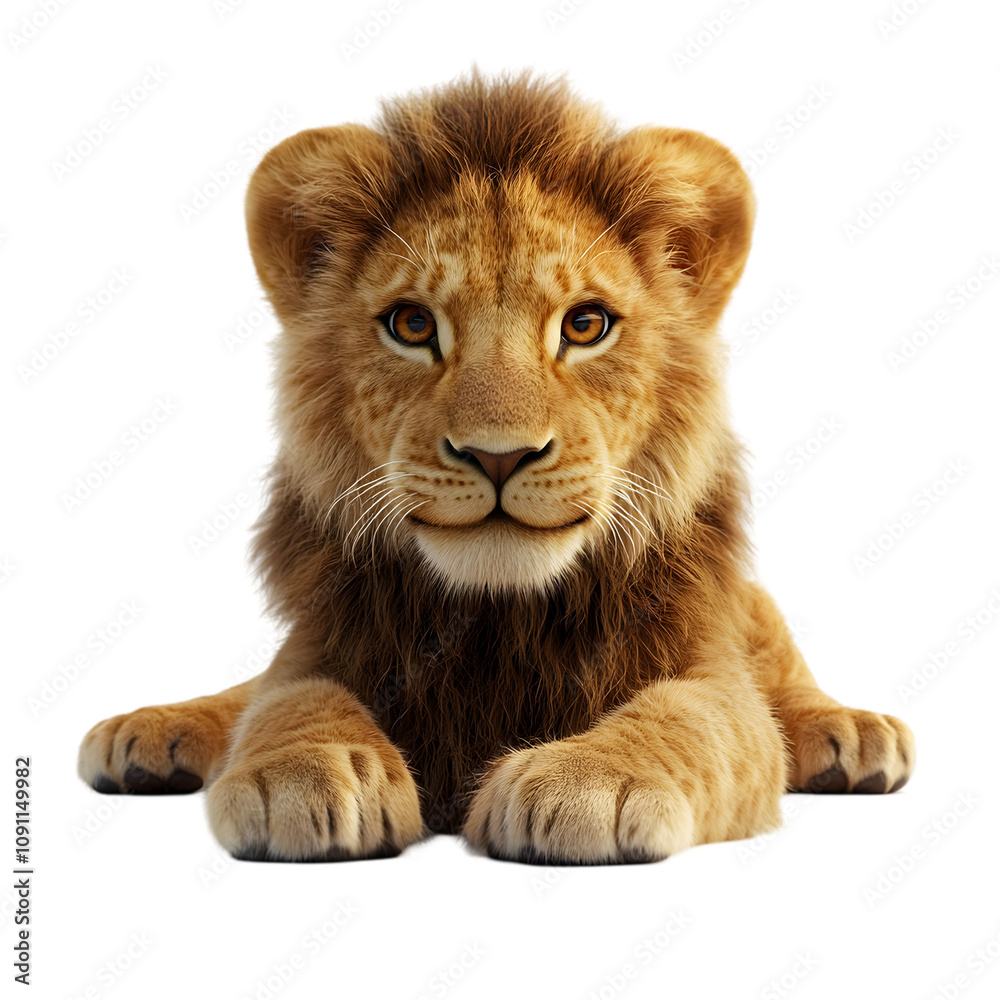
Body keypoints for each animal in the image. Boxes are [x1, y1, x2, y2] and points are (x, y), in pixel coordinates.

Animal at [78, 71, 914, 864]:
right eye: (412, 325)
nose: (498, 454)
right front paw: (307, 771)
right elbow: (289, 699)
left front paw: (588, 780)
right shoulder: (319, 643)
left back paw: (850, 733)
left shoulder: (710, 671)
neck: (498, 620)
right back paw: (149, 735)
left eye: (586, 325)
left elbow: (693, 718)